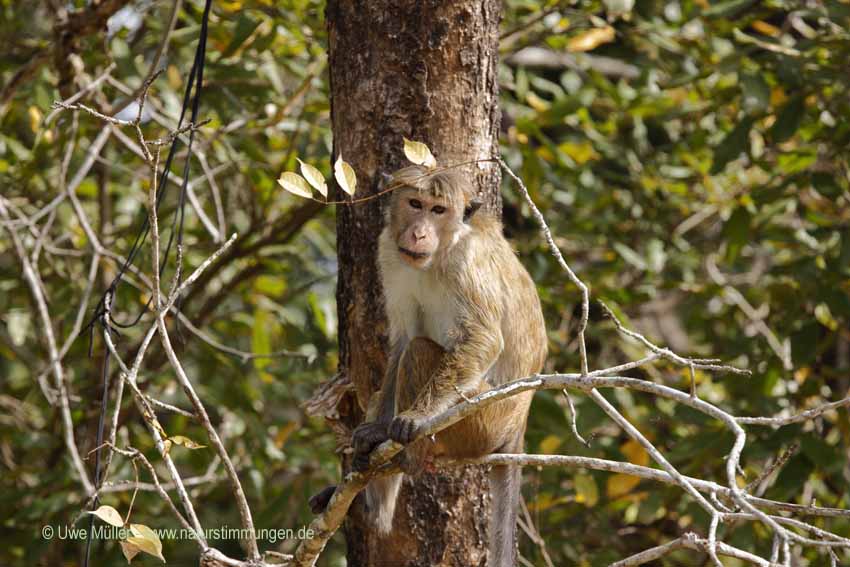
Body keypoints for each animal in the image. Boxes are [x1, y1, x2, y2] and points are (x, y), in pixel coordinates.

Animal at [310, 164, 544, 567]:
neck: (440, 253)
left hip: (482, 421)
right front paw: (377, 431)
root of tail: (518, 425)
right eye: (415, 204)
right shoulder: (388, 251)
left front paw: (414, 419)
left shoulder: (468, 260)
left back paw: (410, 457)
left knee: (421, 354)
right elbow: (402, 340)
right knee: (402, 364)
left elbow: (482, 339)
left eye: (438, 210)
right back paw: (371, 508)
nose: (418, 232)